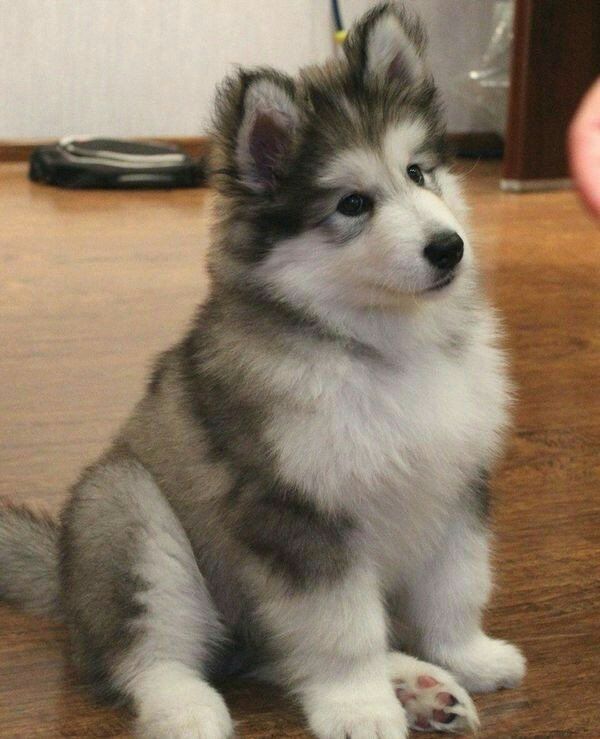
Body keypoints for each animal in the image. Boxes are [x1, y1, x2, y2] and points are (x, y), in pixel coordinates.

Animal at [0, 5, 524, 739]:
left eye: (419, 172)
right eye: (353, 204)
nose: (449, 248)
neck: (383, 347)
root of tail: (64, 578)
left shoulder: (455, 484)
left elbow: (457, 587)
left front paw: (466, 656)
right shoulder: (295, 511)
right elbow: (341, 629)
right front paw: (359, 705)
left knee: (277, 652)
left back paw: (421, 684)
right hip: (129, 513)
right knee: (149, 657)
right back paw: (191, 711)